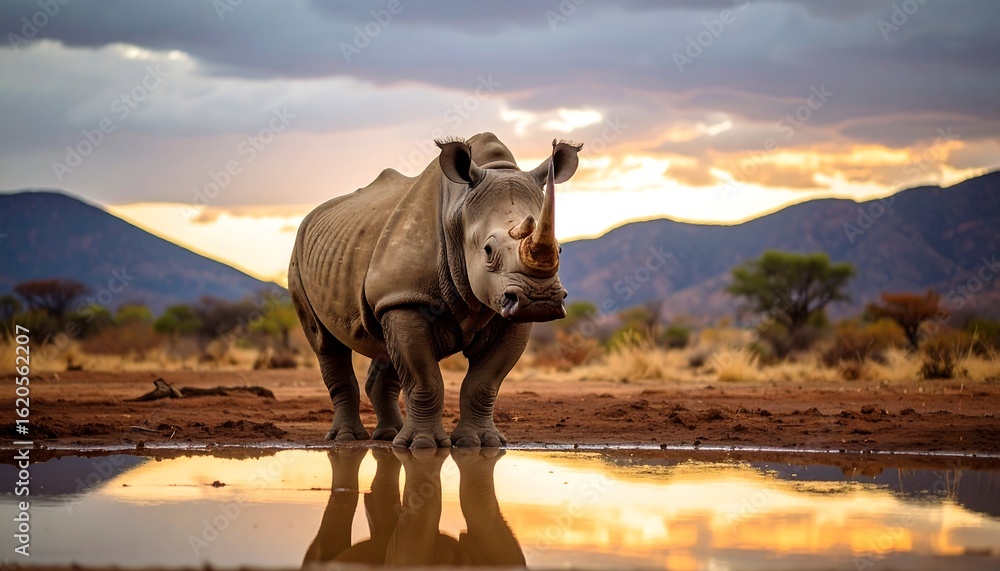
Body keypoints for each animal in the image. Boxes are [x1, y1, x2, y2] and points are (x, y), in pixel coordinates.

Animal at [288, 133, 582, 448]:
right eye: (488, 250)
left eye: (560, 249)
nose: (540, 300)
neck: (459, 212)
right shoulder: (406, 297)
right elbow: (424, 379)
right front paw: (422, 445)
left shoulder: (507, 312)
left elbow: (485, 382)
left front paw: (482, 443)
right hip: (300, 256)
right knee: (325, 343)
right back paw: (348, 438)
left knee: (385, 345)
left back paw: (390, 436)